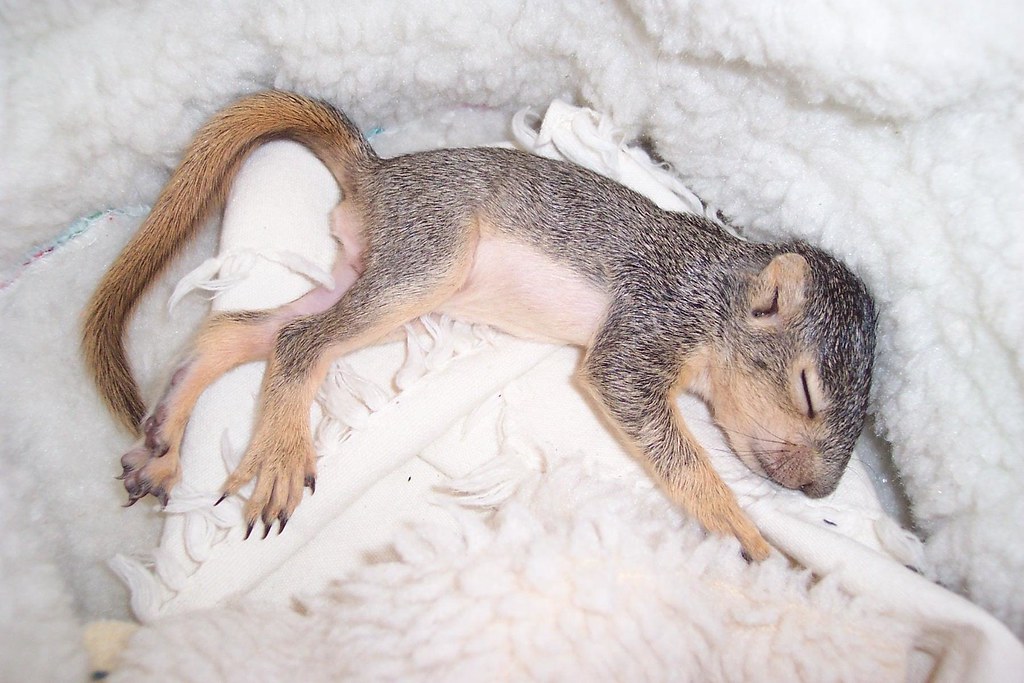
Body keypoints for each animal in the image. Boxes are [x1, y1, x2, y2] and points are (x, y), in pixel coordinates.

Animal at [82, 91, 877, 560]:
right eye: (808, 389)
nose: (817, 494)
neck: (720, 291)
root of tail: (377, 177)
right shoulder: (653, 316)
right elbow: (662, 434)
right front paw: (752, 537)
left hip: (369, 274)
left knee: (246, 334)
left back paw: (163, 438)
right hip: (428, 259)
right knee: (298, 343)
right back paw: (278, 452)